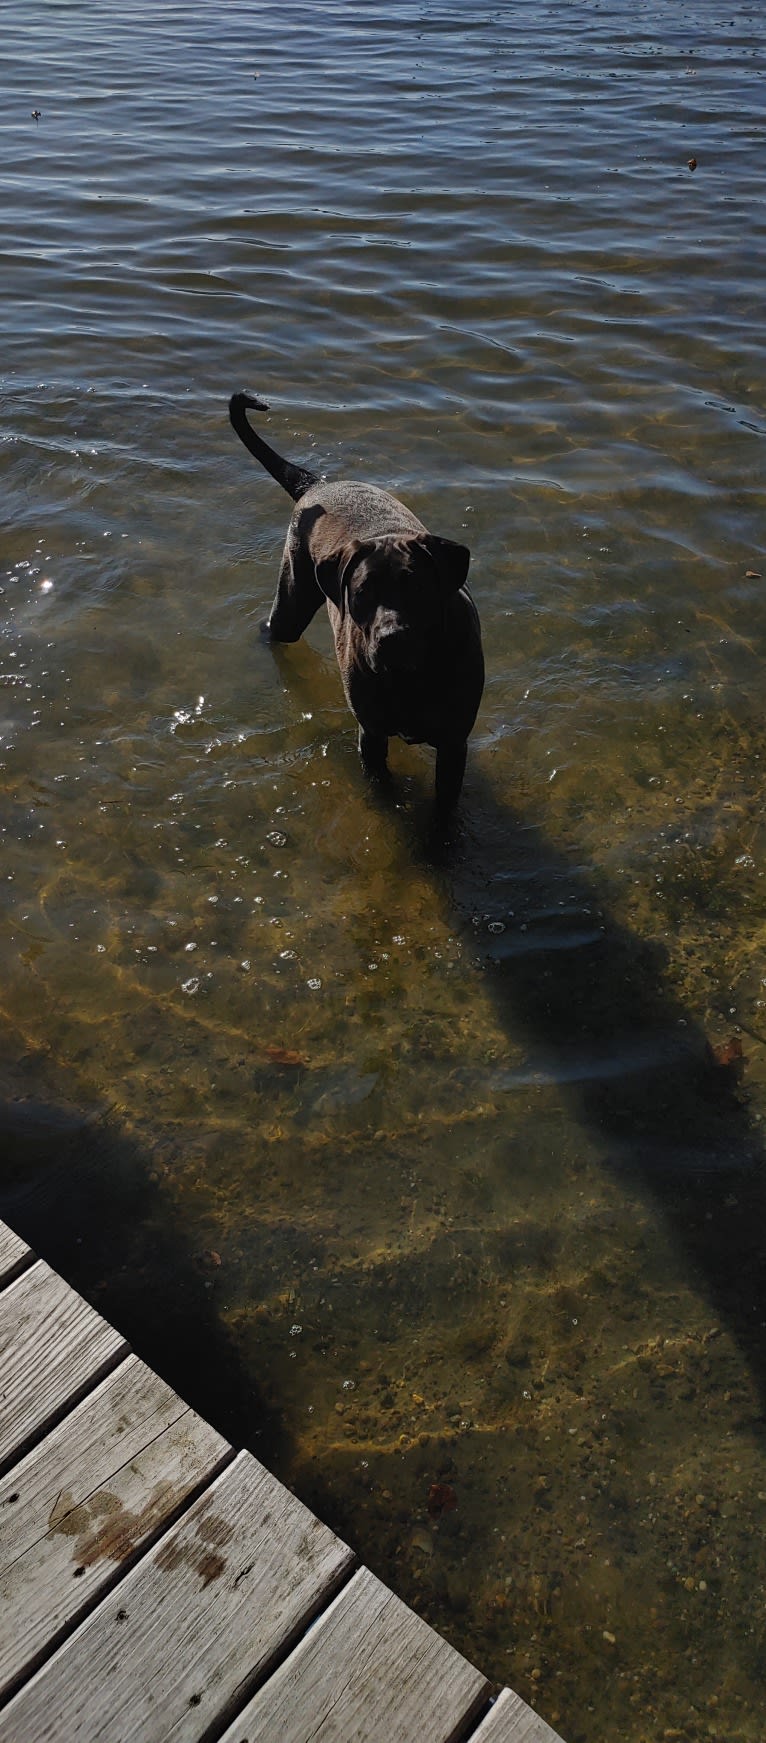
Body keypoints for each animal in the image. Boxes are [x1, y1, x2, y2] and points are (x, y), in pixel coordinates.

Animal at [226, 392, 485, 812]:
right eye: (362, 594)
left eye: (418, 589)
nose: (392, 638)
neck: (412, 678)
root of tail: (317, 486)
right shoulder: (373, 735)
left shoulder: (452, 743)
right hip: (293, 596)